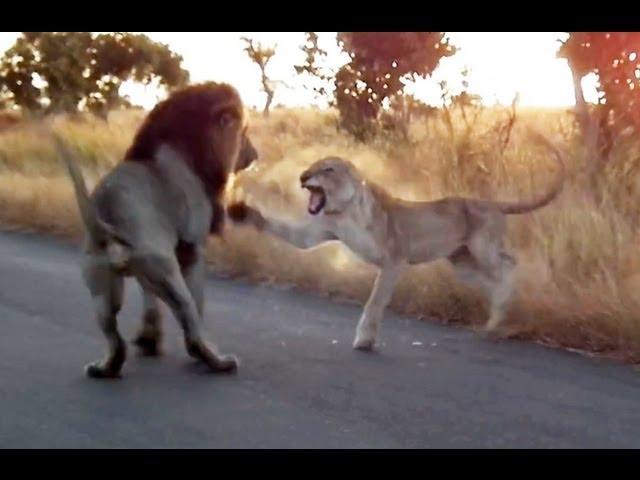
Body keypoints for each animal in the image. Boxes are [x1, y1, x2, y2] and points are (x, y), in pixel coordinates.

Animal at [57, 82, 258, 378]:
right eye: (242, 133)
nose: (255, 155)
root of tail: (106, 210)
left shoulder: (151, 265)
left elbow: (149, 301)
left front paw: (148, 340)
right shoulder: (192, 248)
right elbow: (198, 302)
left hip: (102, 283)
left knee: (113, 334)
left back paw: (105, 368)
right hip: (166, 270)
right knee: (189, 316)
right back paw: (215, 360)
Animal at [230, 129, 564, 350]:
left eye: (327, 169)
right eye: (312, 166)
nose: (302, 177)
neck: (345, 210)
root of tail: (493, 203)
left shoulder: (394, 259)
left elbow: (376, 300)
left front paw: (364, 340)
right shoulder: (319, 230)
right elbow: (292, 235)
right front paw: (244, 212)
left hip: (482, 247)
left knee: (509, 264)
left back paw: (504, 309)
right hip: (462, 263)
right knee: (492, 279)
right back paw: (496, 320)